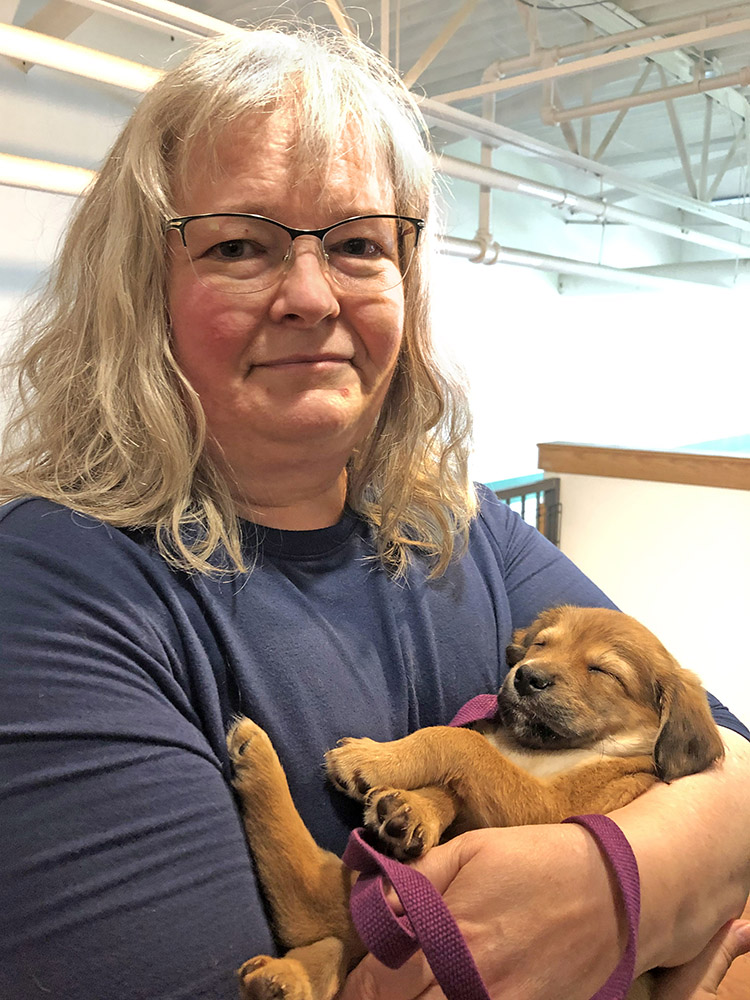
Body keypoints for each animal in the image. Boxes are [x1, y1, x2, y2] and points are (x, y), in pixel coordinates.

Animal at [228, 604, 724, 1000]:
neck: (536, 752)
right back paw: (282, 979)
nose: (526, 676)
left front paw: (372, 759)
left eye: (604, 672)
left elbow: (462, 743)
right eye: (540, 644)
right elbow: (453, 781)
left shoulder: (547, 807)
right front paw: (410, 809)